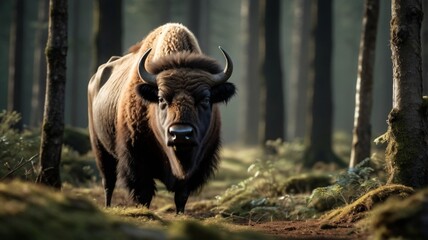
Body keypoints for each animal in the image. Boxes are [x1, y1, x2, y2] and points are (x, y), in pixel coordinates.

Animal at [85, 23, 236, 213]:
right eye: (161, 98)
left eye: (206, 99)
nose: (180, 134)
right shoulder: (137, 158)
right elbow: (144, 193)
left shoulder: (196, 163)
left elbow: (181, 195)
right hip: (99, 146)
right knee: (108, 182)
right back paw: (107, 205)